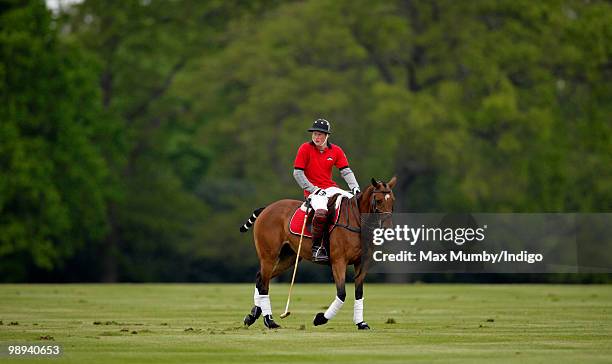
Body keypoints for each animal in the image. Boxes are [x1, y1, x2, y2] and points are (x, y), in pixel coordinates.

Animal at [239, 176, 396, 330]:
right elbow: (342, 293)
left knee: (260, 278)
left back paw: (253, 315)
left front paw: (361, 323)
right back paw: (269, 321)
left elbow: (359, 292)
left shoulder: (362, 263)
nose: (388, 229)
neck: (356, 221)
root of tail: (267, 208)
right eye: (378, 200)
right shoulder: (339, 261)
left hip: (289, 257)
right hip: (269, 255)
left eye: (393, 201)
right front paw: (320, 318)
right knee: (264, 283)